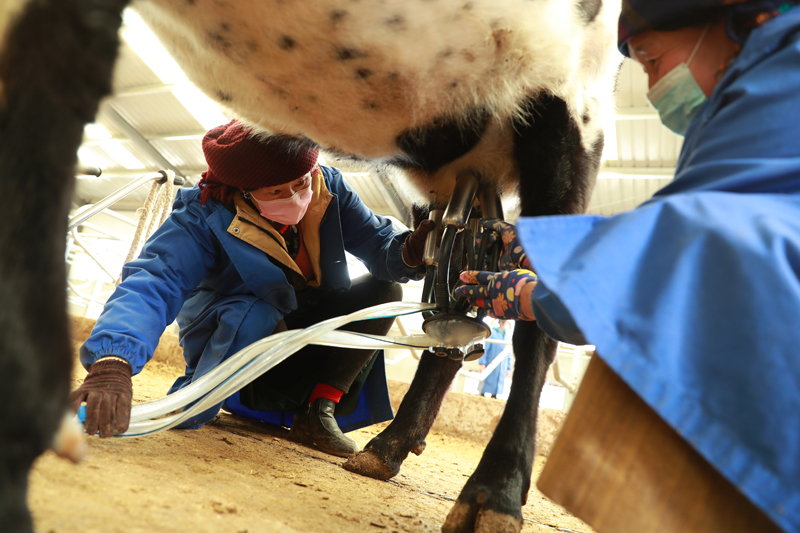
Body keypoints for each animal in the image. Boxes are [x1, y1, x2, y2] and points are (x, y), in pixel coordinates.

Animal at [0, 1, 620, 532]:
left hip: (568, 110)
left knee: (526, 322)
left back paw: (492, 497)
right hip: (465, 162)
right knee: (448, 292)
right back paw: (387, 447)